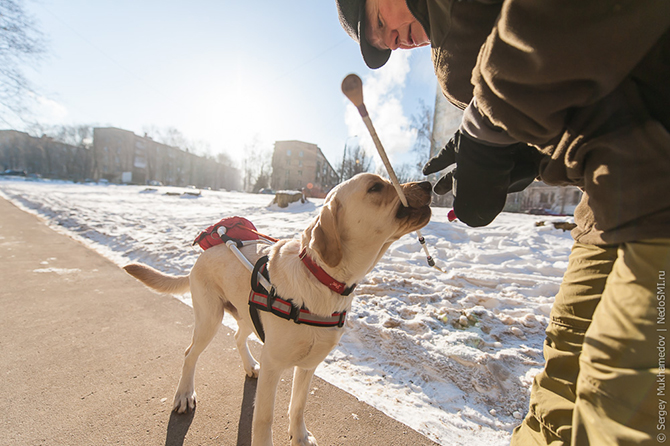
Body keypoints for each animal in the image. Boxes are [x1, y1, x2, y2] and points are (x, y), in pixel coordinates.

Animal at [123, 173, 434, 446]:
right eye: (375, 187)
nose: (428, 184)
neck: (322, 279)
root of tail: (203, 254)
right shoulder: (274, 364)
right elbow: (264, 419)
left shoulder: (308, 365)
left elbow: (298, 406)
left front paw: (300, 436)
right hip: (210, 318)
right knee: (190, 354)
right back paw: (184, 395)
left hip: (247, 314)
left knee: (237, 337)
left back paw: (249, 366)